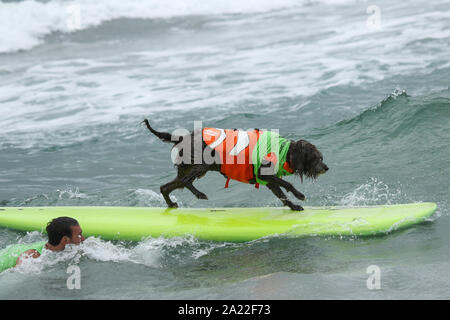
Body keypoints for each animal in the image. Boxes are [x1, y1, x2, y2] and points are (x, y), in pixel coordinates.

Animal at [143, 119, 326, 211]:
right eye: (315, 158)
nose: (326, 168)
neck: (284, 151)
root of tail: (182, 137)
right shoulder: (265, 174)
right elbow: (287, 184)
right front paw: (299, 195)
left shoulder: (269, 181)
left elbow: (282, 195)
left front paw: (294, 206)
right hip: (201, 165)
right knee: (186, 181)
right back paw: (200, 194)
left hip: (186, 169)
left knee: (165, 187)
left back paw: (171, 204)